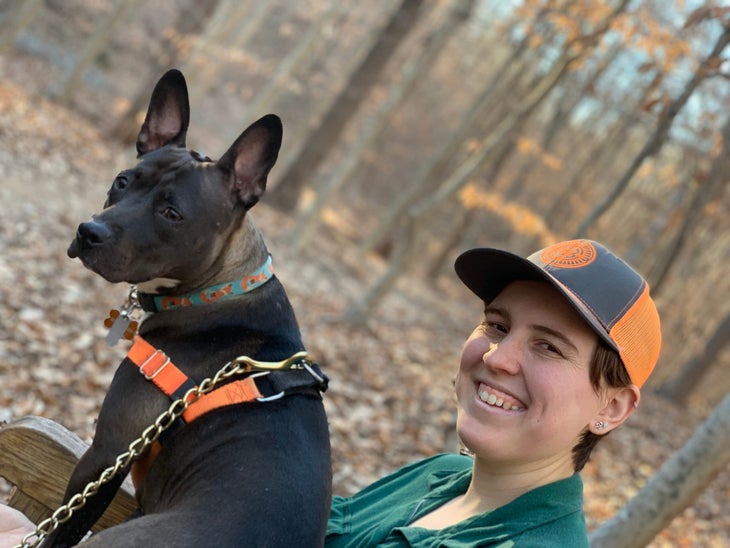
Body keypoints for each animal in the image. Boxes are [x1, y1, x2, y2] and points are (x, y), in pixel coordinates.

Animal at [41, 70, 332, 544]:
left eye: (172, 214)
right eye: (123, 181)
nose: (88, 232)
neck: (218, 290)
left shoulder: (107, 454)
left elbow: (61, 529)